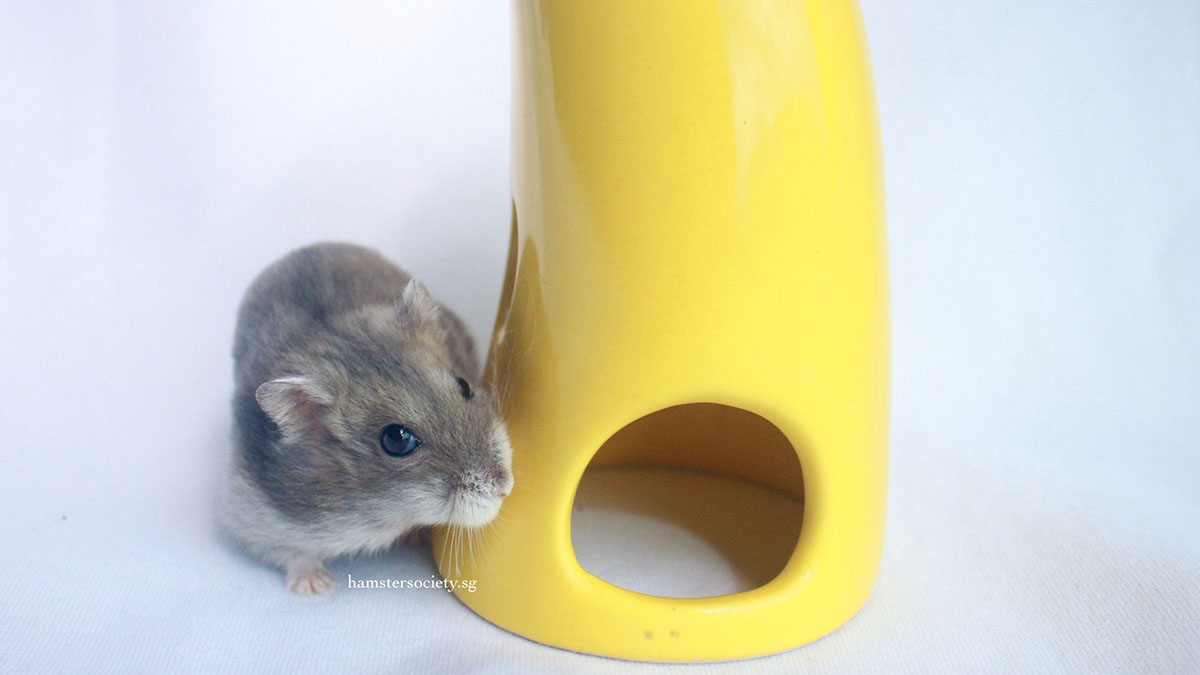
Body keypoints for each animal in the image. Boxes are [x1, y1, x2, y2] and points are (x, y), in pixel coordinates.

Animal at [222, 242, 514, 596]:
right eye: (396, 440)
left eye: (464, 385)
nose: (505, 489)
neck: (373, 510)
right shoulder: (251, 514)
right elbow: (292, 554)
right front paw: (317, 588)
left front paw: (419, 534)